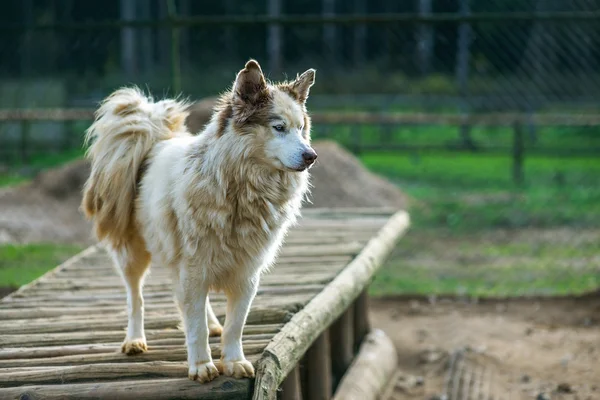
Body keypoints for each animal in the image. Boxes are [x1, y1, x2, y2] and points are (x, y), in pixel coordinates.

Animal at [83, 59, 318, 382]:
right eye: (279, 128)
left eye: (301, 128)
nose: (312, 156)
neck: (240, 188)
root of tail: (155, 139)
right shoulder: (193, 267)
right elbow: (196, 326)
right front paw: (202, 366)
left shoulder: (246, 274)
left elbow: (235, 325)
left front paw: (233, 361)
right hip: (134, 255)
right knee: (136, 299)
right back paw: (134, 340)